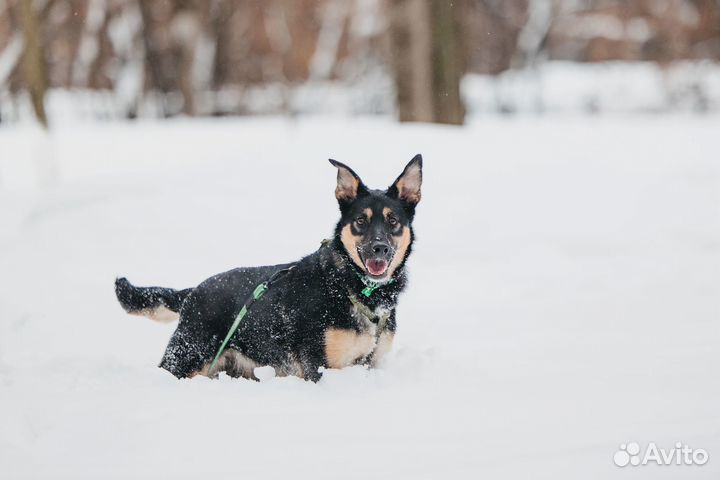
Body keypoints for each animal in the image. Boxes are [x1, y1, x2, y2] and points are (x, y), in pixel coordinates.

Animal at [115, 156, 422, 380]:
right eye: (360, 221)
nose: (379, 248)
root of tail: (192, 292)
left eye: (393, 221)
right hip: (185, 358)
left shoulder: (373, 362)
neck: (351, 286)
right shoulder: (321, 368)